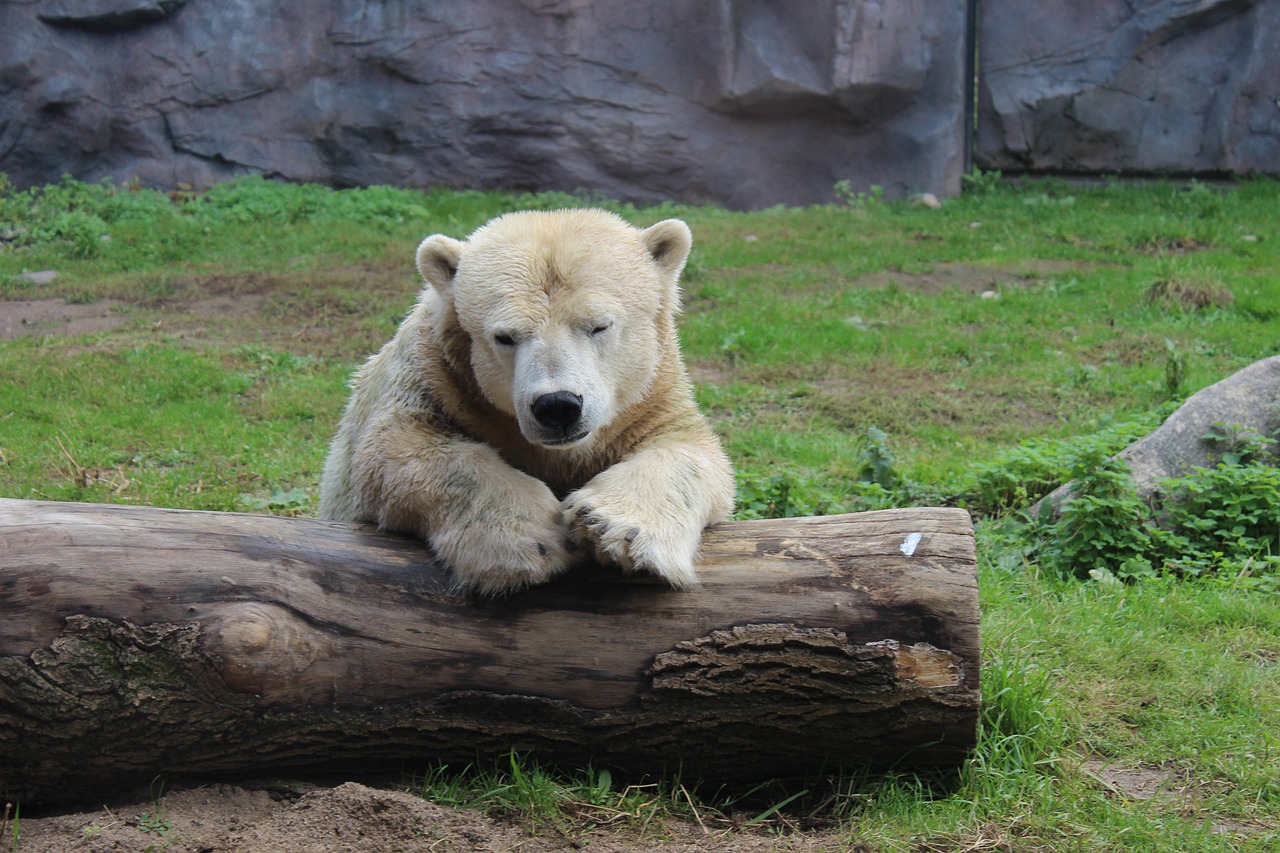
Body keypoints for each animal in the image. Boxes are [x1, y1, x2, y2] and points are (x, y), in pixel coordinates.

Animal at [320, 207, 737, 591]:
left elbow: (690, 452)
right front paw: (535, 537)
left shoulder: (651, 399)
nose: (558, 407)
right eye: (504, 337)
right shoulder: (429, 380)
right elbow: (397, 452)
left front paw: (611, 526)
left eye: (599, 326)